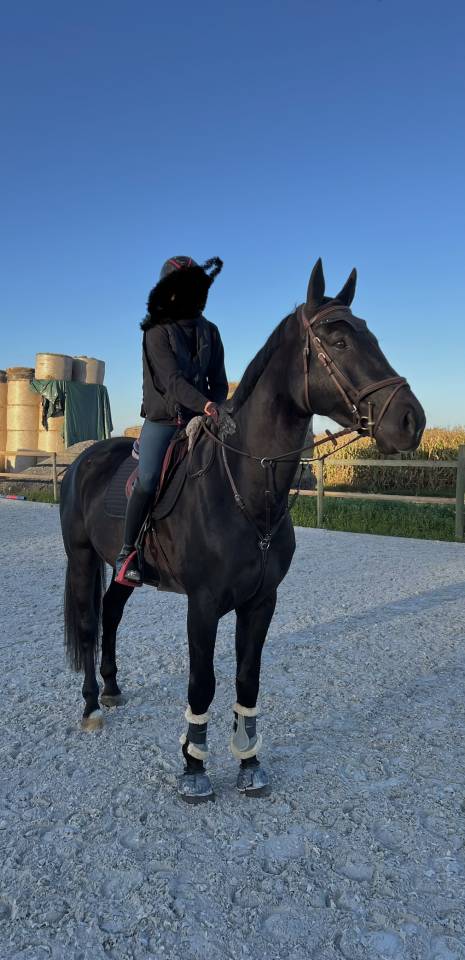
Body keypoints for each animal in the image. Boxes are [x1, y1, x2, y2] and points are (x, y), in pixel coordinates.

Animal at [60, 258, 425, 802]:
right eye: (339, 341)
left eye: (371, 336)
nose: (411, 420)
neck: (247, 491)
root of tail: (82, 460)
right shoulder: (204, 604)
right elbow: (202, 684)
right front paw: (194, 769)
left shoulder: (261, 601)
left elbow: (247, 680)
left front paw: (250, 763)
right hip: (82, 558)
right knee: (87, 624)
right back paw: (90, 706)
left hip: (123, 571)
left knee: (111, 613)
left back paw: (111, 687)